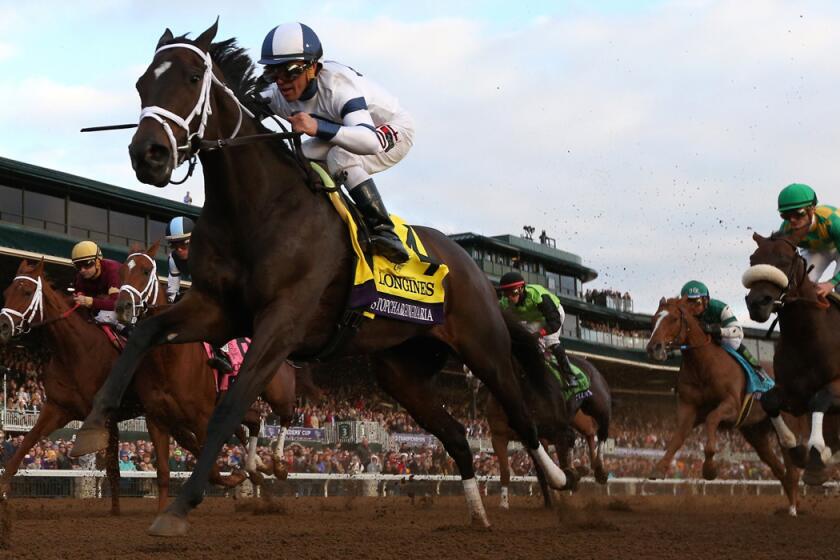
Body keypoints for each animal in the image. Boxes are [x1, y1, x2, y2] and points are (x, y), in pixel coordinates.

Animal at [72, 25, 576, 532]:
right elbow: (146, 334)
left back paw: (558, 479)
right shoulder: (218, 309)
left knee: (521, 415)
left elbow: (231, 407)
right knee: (455, 434)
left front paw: (182, 505)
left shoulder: (282, 322)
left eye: (194, 77)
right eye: (142, 83)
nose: (148, 155)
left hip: (482, 346)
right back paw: (477, 514)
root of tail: (472, 266)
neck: (256, 207)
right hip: (402, 372)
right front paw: (91, 428)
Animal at [486, 356, 612, 510]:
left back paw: (597, 468)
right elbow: (506, 470)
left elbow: (544, 469)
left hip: (585, 413)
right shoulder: (499, 437)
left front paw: (554, 498)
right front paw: (504, 503)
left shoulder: (541, 437)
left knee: (592, 430)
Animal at [648, 298, 796, 516]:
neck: (702, 365)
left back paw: (794, 506)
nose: (654, 347)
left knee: (791, 461)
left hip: (787, 423)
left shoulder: (732, 406)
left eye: (674, 318)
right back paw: (791, 505)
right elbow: (677, 438)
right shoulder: (689, 409)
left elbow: (711, 421)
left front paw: (709, 469)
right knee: (778, 468)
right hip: (755, 432)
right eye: (653, 319)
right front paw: (659, 468)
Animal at [740, 232, 840, 486]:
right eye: (752, 260)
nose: (757, 303)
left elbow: (820, 399)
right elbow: (769, 401)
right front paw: (798, 451)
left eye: (785, 261)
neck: (806, 338)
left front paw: (816, 458)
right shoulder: (793, 395)